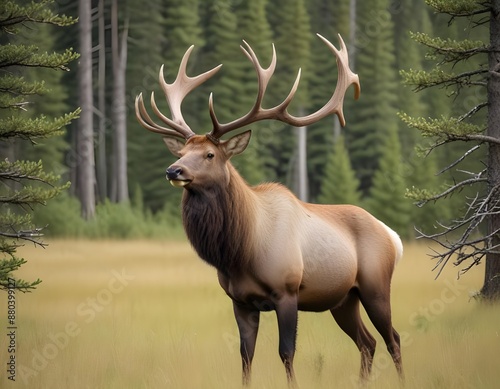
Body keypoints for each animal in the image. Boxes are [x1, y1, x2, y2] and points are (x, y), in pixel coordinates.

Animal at [135, 34, 404, 384]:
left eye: (209, 154)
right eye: (181, 152)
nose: (173, 170)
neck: (241, 250)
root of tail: (393, 236)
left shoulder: (287, 292)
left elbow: (286, 352)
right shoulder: (240, 301)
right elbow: (245, 355)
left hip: (376, 286)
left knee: (392, 338)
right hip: (344, 298)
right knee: (367, 342)